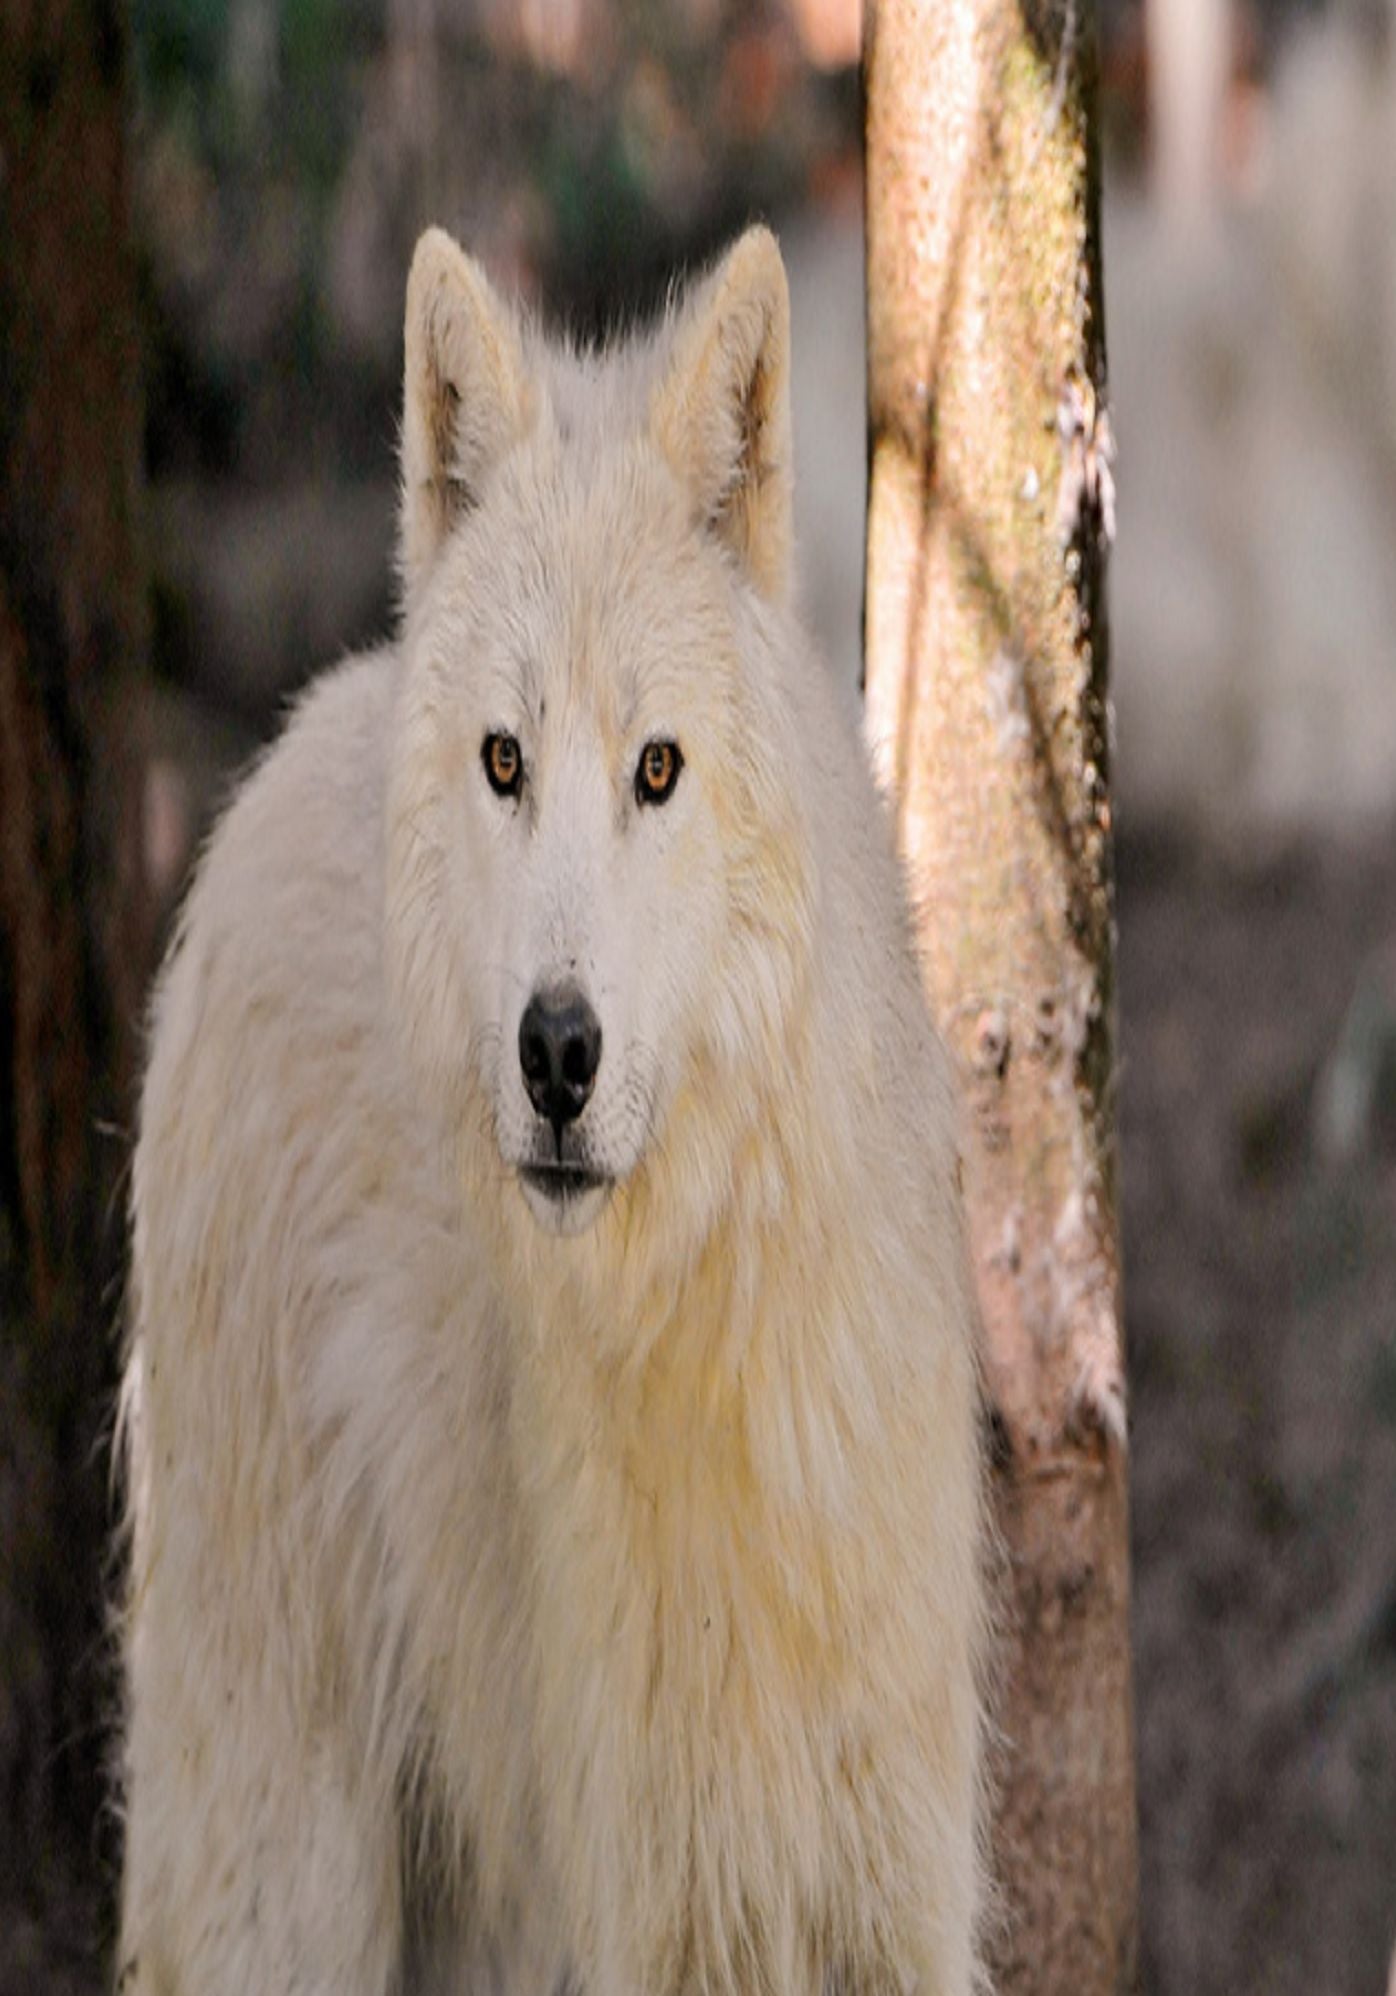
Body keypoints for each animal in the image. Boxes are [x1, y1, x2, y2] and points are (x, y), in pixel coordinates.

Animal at [117, 223, 988, 1996]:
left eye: (657, 768)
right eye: (506, 761)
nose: (558, 1053)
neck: (722, 1365)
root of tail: (293, 737)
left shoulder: (897, 1898)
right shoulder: (647, 1912)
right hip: (296, 1855)